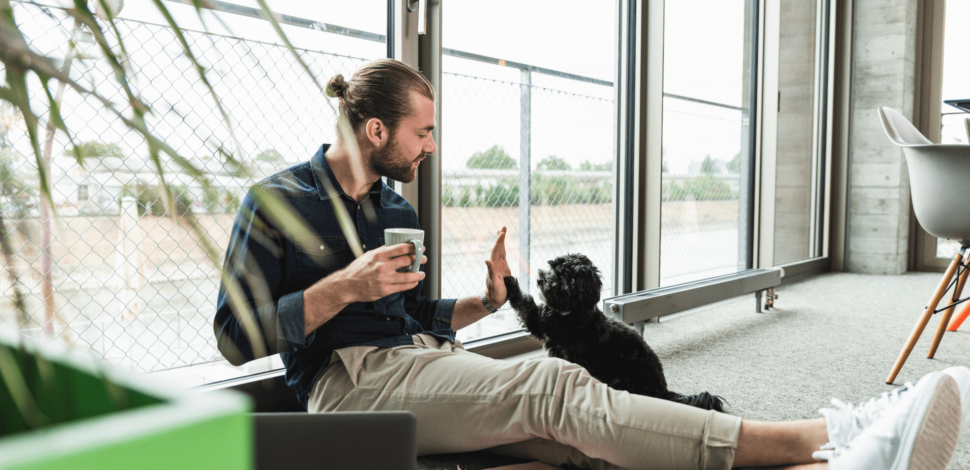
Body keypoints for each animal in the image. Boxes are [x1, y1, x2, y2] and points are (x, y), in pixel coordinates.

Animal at [502, 253, 724, 412]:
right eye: (551, 267)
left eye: (562, 277)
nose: (540, 279)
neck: (574, 311)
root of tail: (663, 391)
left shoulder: (543, 323)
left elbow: (524, 304)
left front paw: (509, 283)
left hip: (624, 378)